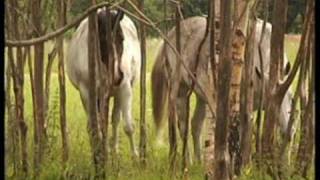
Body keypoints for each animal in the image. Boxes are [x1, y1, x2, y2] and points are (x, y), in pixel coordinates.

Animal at [66, 9, 140, 157]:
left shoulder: (125, 88)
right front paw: (98, 153)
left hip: (116, 93)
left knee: (115, 119)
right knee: (100, 123)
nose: (117, 76)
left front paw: (136, 157)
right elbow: (95, 127)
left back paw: (114, 150)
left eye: (121, 38)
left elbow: (128, 126)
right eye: (102, 39)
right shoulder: (86, 92)